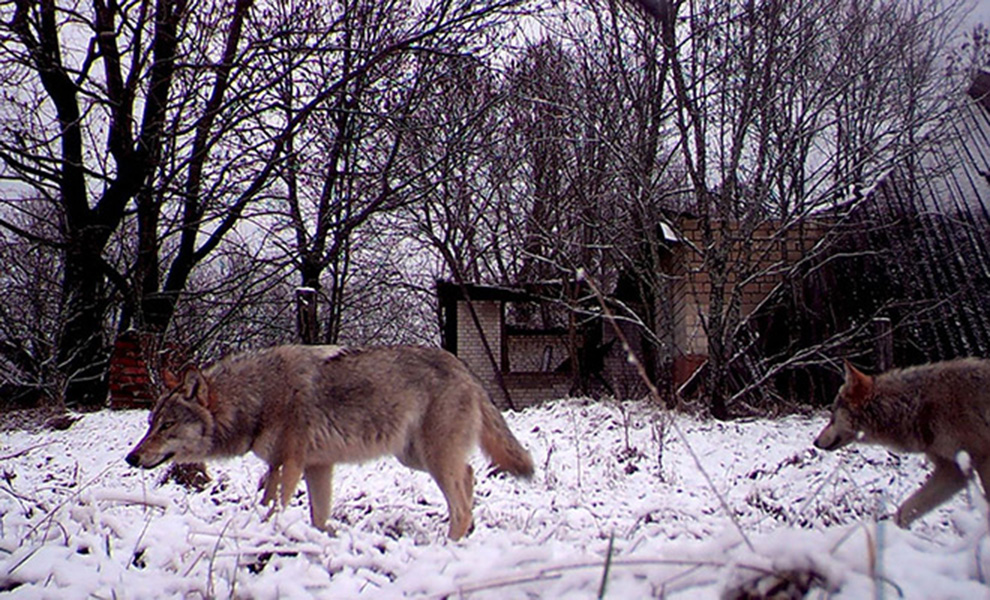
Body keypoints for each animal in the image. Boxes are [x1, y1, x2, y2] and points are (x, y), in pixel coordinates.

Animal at [126, 344, 536, 540]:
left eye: (167, 426)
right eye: (150, 424)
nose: (132, 458)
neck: (258, 396)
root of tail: (466, 370)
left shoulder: (288, 464)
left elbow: (273, 505)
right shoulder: (316, 466)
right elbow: (318, 515)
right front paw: (317, 538)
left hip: (432, 459)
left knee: (461, 500)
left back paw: (449, 546)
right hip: (415, 458)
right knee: (469, 476)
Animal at [812, 358, 990, 528]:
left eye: (833, 415)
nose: (815, 442)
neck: (915, 405)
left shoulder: (982, 461)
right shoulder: (953, 471)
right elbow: (904, 511)